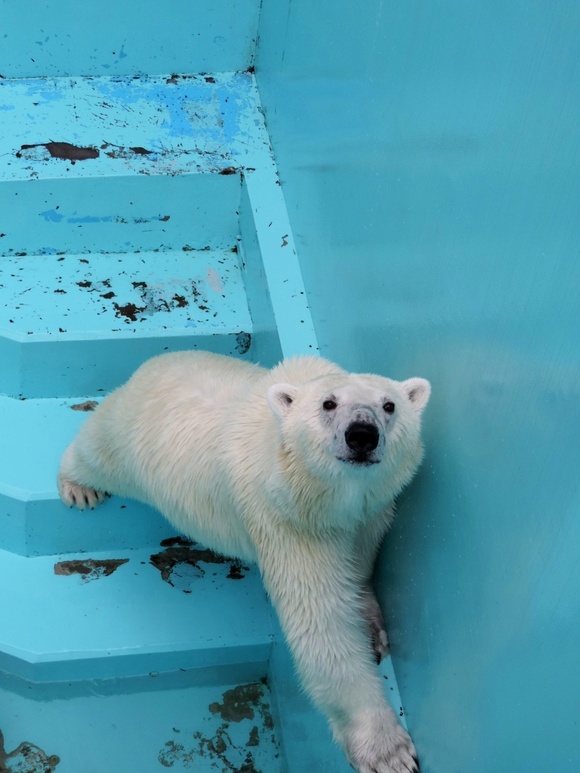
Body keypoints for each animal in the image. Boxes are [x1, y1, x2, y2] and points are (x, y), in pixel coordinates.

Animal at [60, 352, 430, 772]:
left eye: (390, 405)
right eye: (328, 403)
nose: (362, 435)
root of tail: (154, 363)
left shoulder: (373, 511)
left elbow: (361, 563)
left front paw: (371, 625)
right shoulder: (288, 523)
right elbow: (322, 624)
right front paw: (388, 750)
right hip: (125, 436)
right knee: (96, 452)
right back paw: (78, 485)